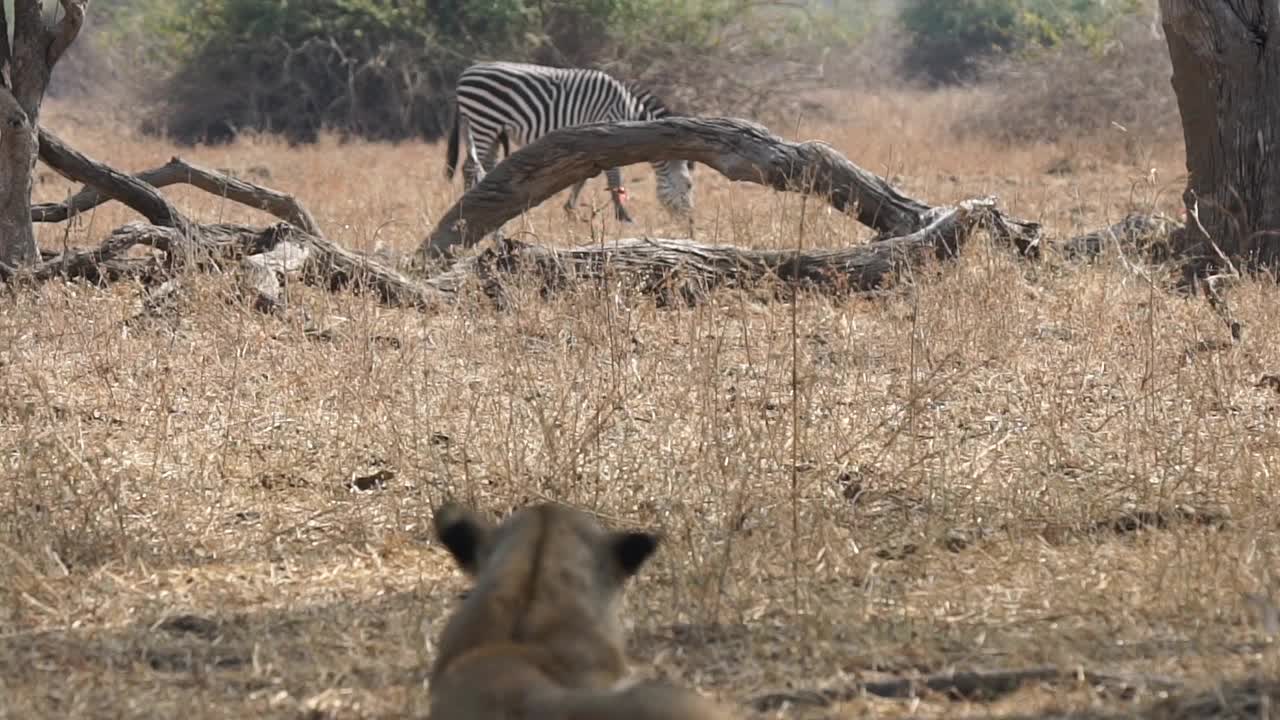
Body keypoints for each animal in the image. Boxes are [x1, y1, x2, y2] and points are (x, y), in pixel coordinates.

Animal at [445, 63, 696, 222]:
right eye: (689, 186)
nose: (691, 226)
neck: (629, 112)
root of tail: (464, 75)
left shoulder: (591, 143)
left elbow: (582, 178)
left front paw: (570, 211)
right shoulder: (609, 135)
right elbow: (614, 177)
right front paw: (623, 216)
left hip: (489, 128)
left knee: (483, 167)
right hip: (484, 121)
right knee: (471, 167)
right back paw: (467, 208)